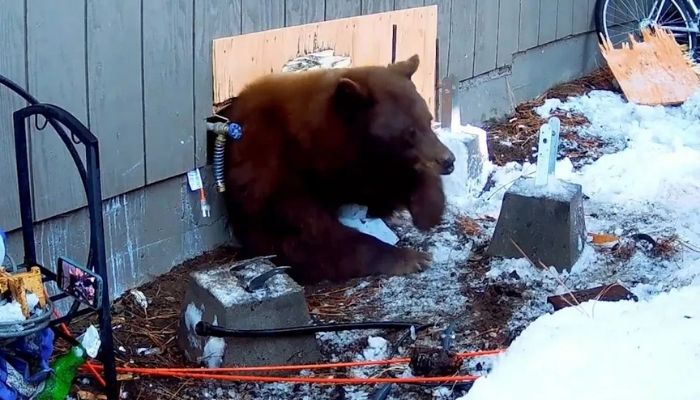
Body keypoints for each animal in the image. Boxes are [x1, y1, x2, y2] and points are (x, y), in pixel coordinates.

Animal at [217, 54, 455, 284]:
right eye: (409, 132)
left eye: (428, 119)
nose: (448, 160)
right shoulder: (269, 169)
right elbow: (307, 236)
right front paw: (410, 257)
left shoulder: (356, 172)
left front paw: (427, 208)